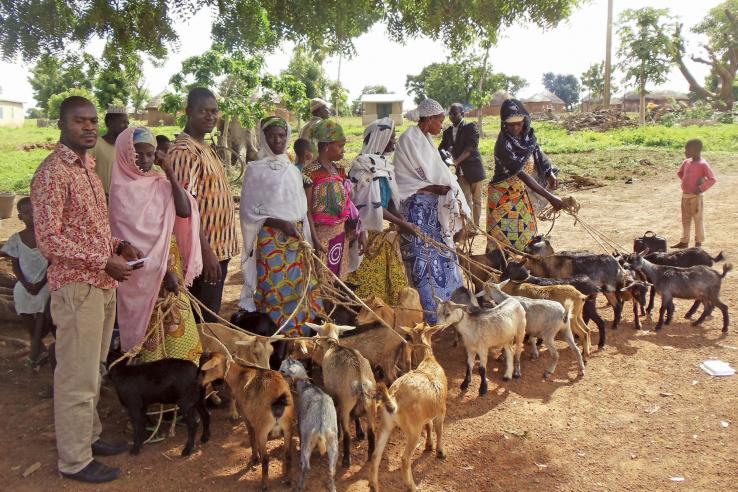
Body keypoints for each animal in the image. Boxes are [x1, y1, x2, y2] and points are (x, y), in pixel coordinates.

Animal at [203, 354, 294, 488]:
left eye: (207, 367)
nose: (200, 382)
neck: (240, 374)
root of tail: (279, 399)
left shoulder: (248, 420)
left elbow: (252, 439)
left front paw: (255, 459)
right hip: (288, 429)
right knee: (287, 454)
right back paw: (287, 480)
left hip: (263, 430)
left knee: (266, 458)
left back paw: (264, 485)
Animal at [304, 320, 376, 468]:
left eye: (318, 332)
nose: (313, 338)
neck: (333, 346)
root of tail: (360, 381)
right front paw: (360, 433)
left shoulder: (334, 393)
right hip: (371, 404)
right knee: (372, 432)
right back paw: (372, 455)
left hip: (345, 405)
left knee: (347, 435)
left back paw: (346, 460)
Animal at [366, 322, 442, 492]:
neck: (429, 360)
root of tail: (394, 399)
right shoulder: (442, 410)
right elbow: (439, 430)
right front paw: (441, 452)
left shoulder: (426, 414)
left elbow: (429, 425)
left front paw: (429, 445)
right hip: (413, 430)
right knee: (405, 458)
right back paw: (412, 486)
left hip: (386, 424)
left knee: (376, 454)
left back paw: (374, 485)